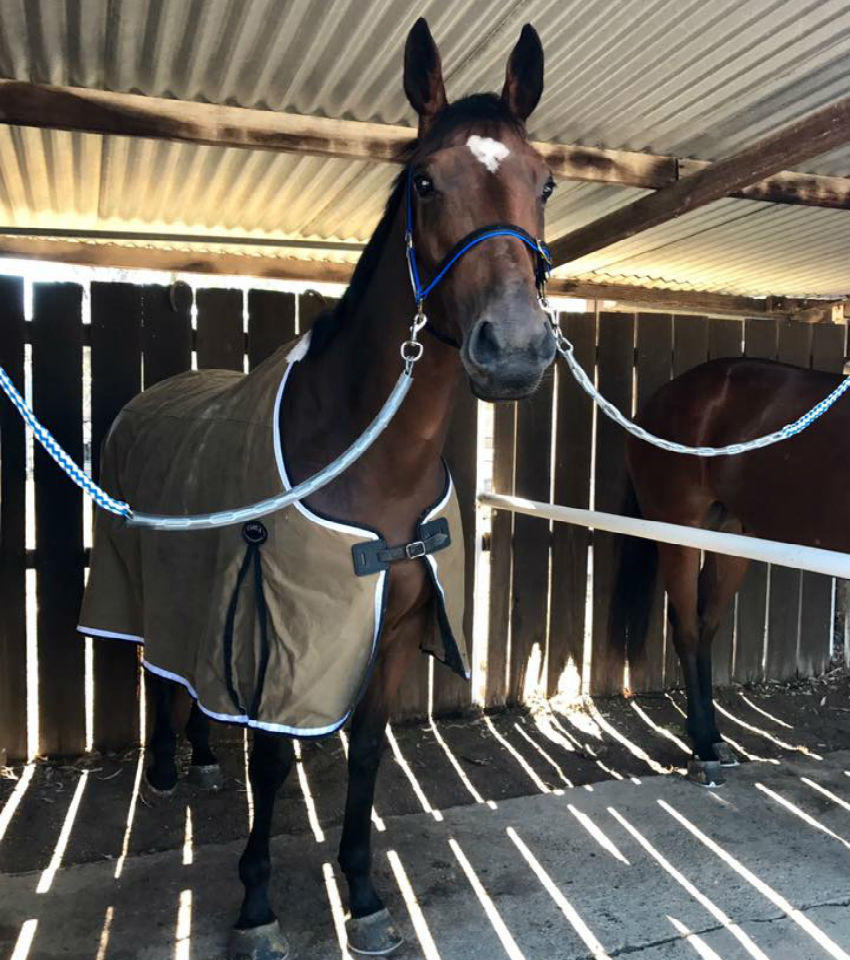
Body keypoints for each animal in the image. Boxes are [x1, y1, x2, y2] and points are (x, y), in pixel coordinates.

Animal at [81, 18, 557, 959]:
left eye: (546, 182)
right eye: (424, 181)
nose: (516, 350)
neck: (369, 460)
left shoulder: (393, 630)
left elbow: (367, 754)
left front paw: (366, 897)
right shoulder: (286, 631)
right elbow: (271, 763)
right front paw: (257, 907)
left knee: (196, 681)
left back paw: (200, 757)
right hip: (142, 576)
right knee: (156, 667)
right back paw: (165, 774)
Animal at [611, 355, 849, 784]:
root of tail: (658, 400)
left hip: (733, 537)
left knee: (706, 626)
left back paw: (714, 740)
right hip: (679, 532)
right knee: (688, 630)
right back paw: (704, 749)